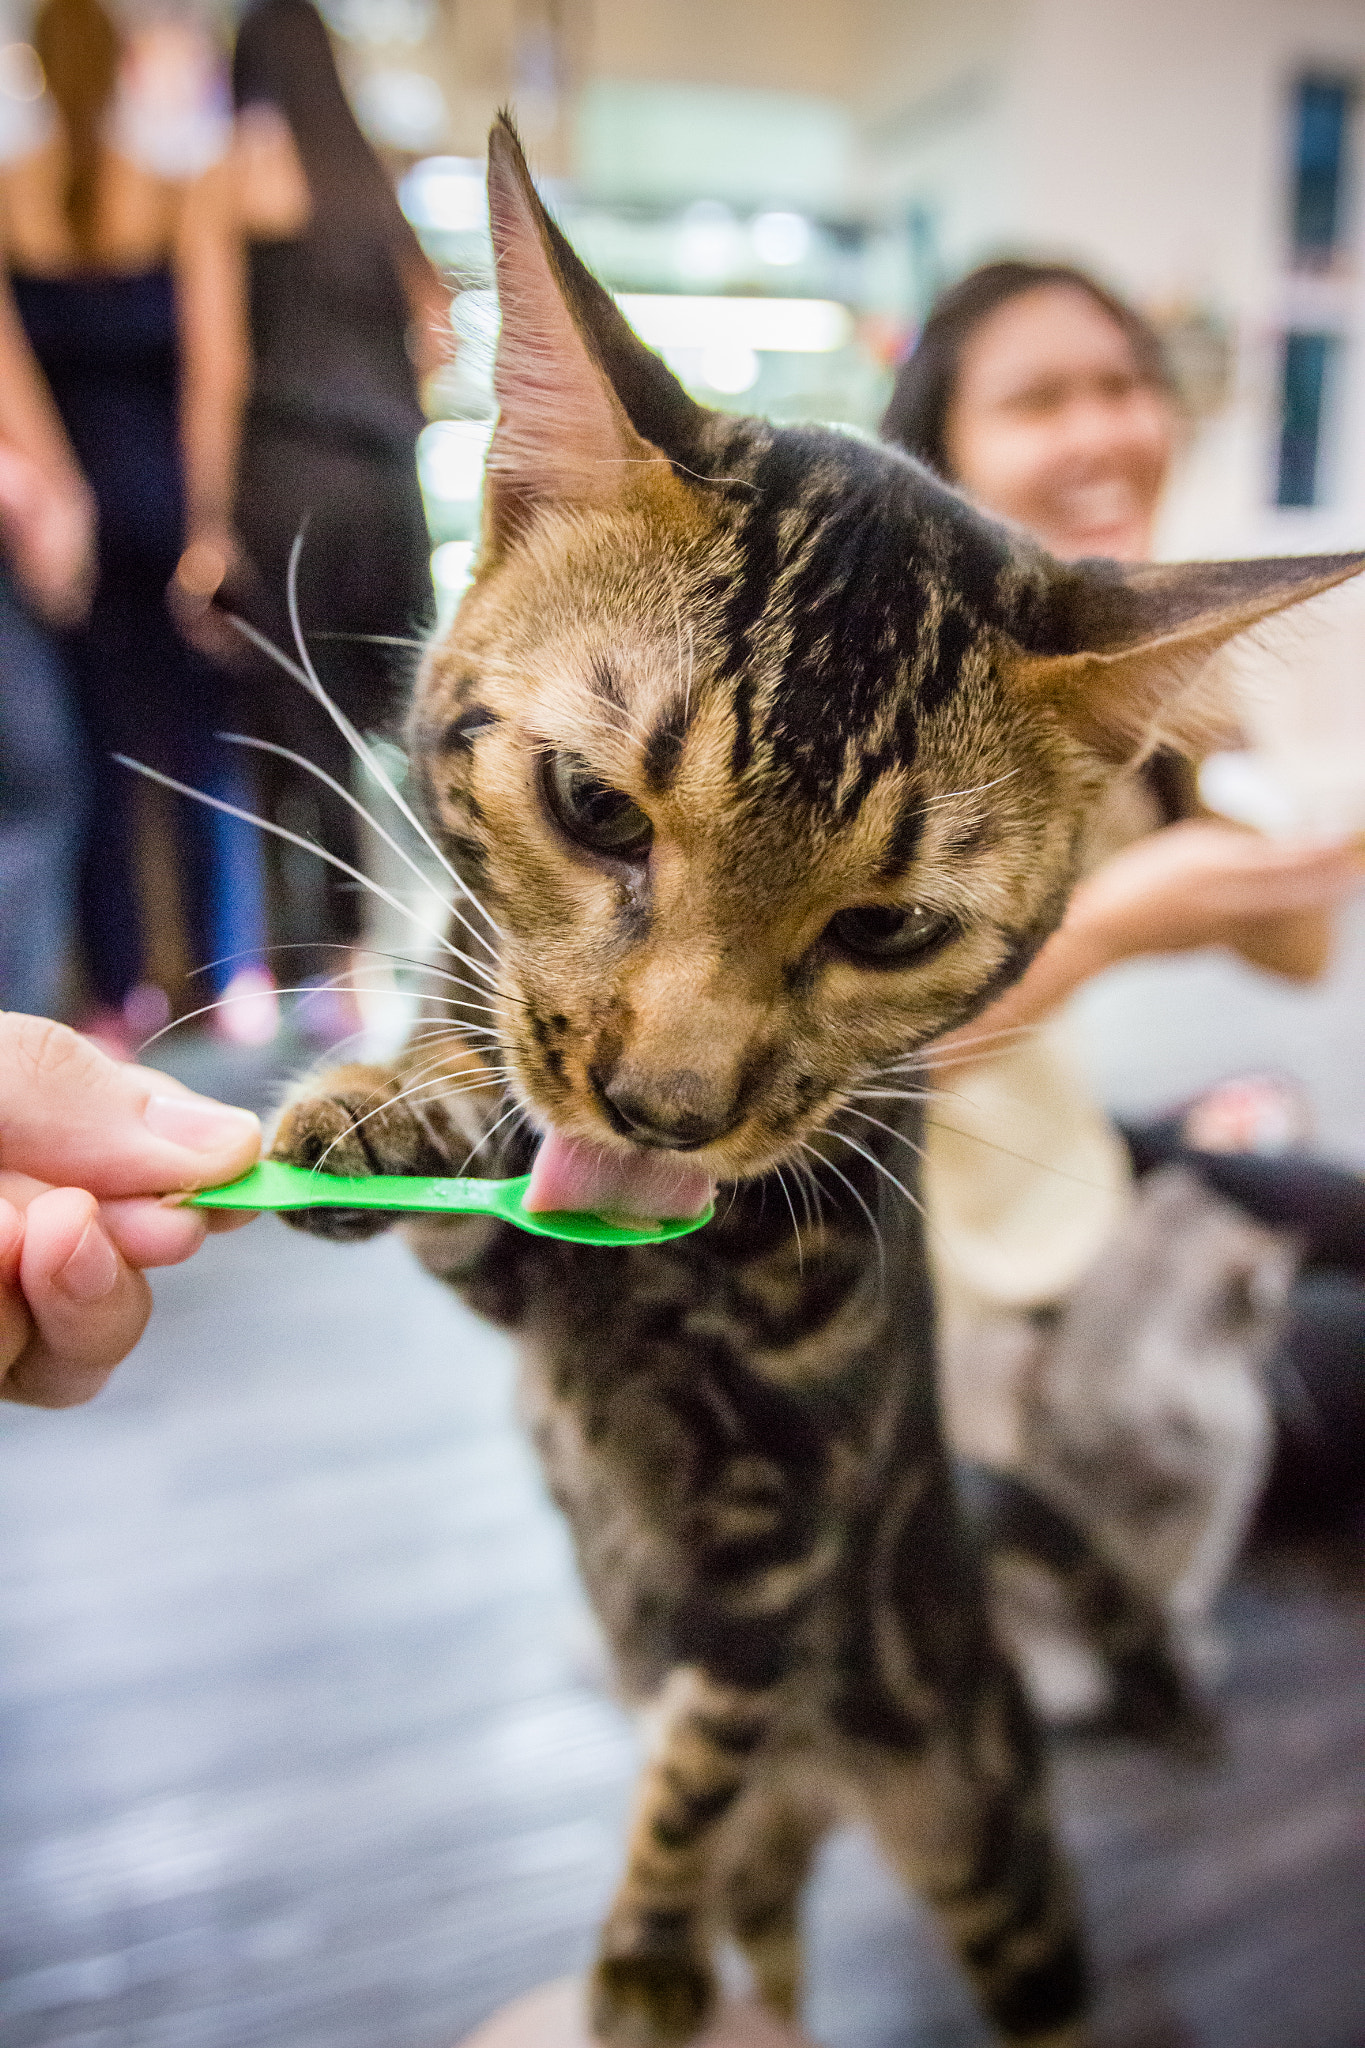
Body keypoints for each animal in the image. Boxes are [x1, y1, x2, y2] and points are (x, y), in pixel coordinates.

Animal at [272, 123, 1358, 2048]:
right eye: (594, 807)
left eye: (889, 926)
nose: (668, 1105)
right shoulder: (519, 1288)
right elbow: (476, 1186)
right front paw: (392, 1099)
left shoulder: (785, 1542)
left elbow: (702, 1753)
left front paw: (636, 1958)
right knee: (772, 1899)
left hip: (986, 1828)